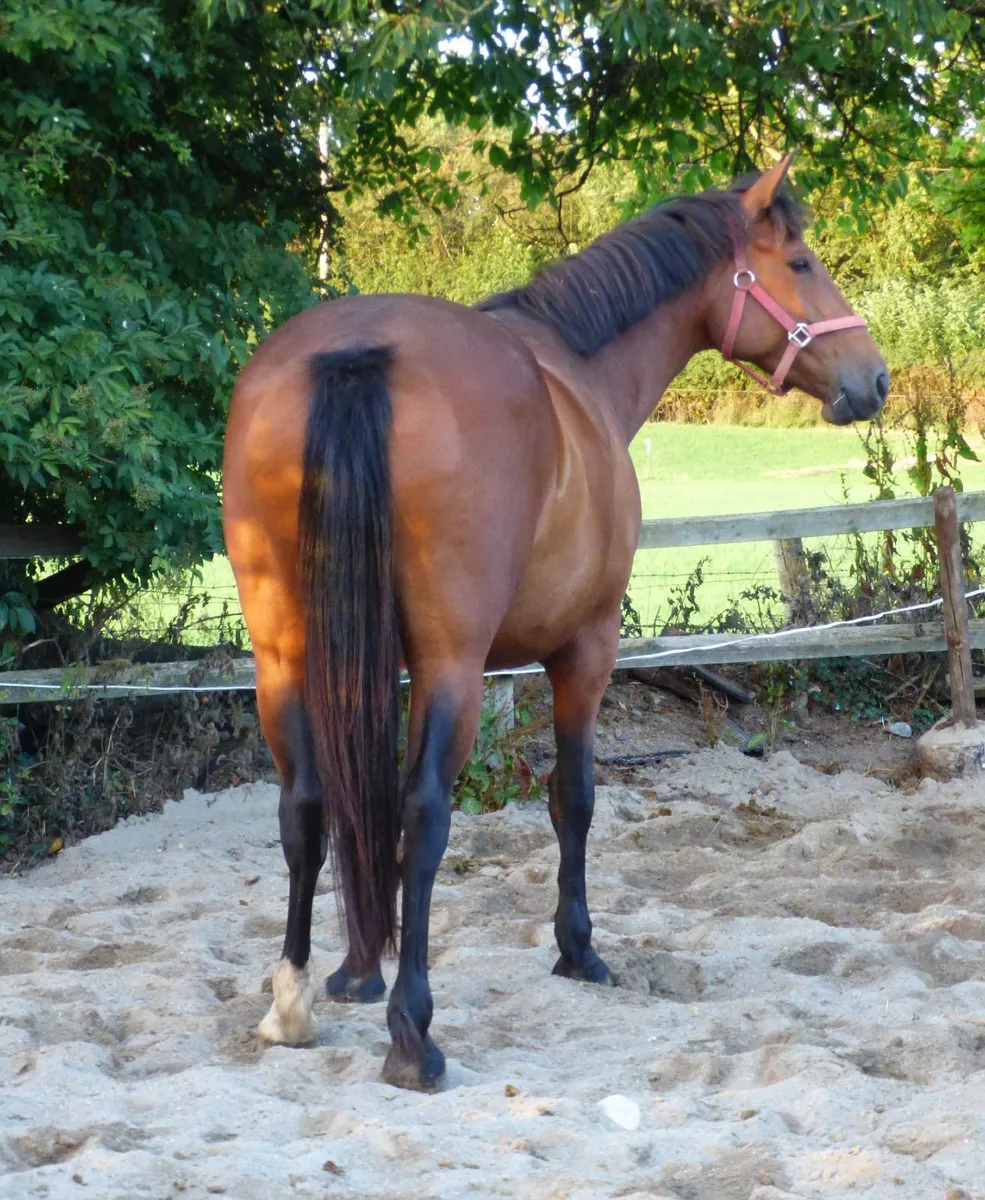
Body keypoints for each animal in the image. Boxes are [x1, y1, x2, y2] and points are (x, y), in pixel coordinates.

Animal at [222, 154, 889, 1092]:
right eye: (799, 262)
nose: (875, 378)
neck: (579, 373)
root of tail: (357, 352)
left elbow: (360, 801)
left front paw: (356, 972)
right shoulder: (586, 648)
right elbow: (571, 795)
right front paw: (578, 950)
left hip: (283, 653)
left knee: (307, 804)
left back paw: (292, 1003)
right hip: (454, 664)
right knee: (426, 814)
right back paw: (413, 1036)